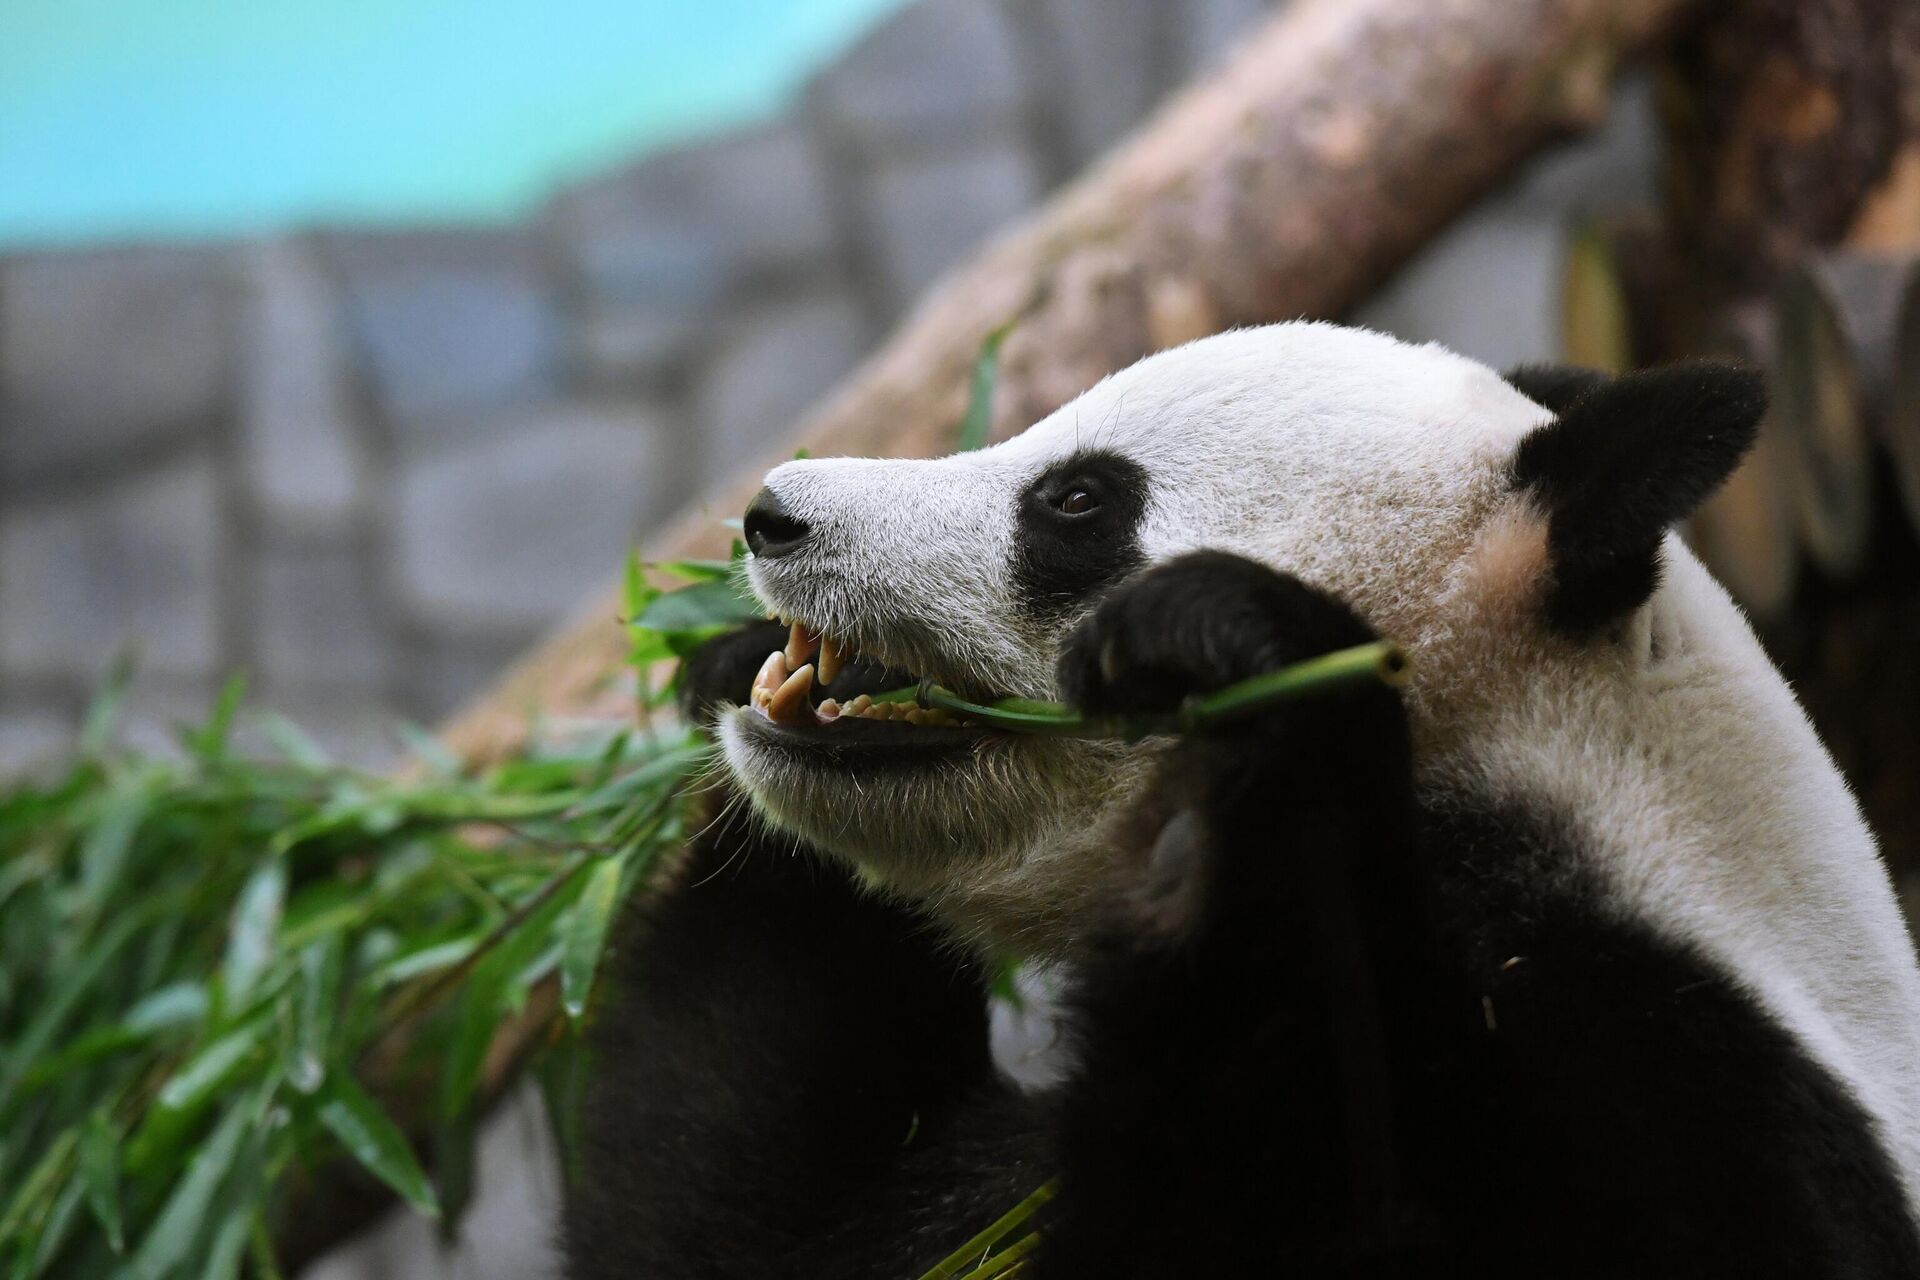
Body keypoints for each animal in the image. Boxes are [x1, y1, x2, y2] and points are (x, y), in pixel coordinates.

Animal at [560, 322, 1920, 1280]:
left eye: (1076, 499)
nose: (772, 513)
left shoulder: (1684, 1090)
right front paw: (728, 663)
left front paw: (1247, 677)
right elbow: (723, 1192)